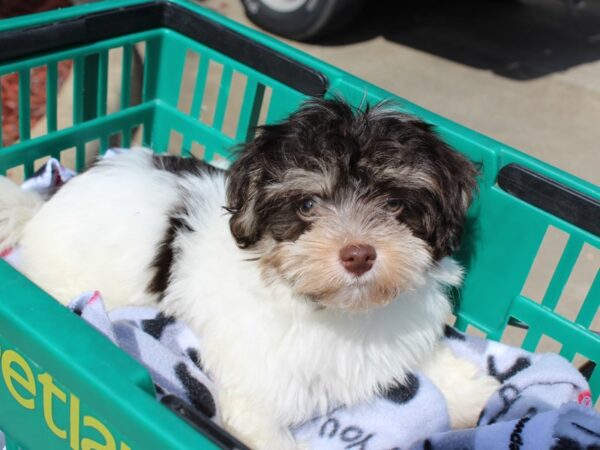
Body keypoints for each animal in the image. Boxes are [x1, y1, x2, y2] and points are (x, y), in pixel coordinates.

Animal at [0, 99, 496, 450]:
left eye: (394, 204)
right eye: (307, 205)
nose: (358, 254)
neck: (337, 310)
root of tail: (46, 201)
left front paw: (482, 401)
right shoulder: (258, 393)